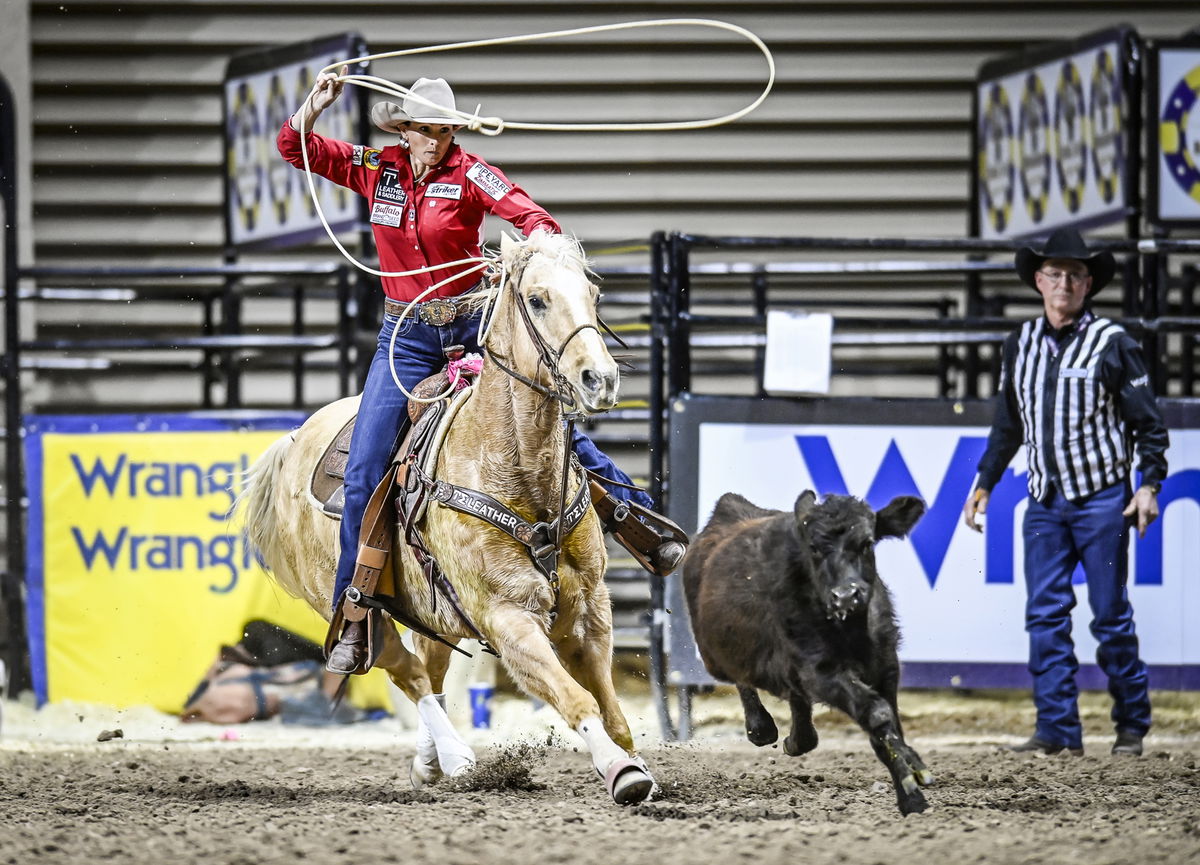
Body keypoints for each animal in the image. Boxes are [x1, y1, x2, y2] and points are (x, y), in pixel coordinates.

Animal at [236, 231, 657, 801]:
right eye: (537, 299)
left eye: (593, 294)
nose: (601, 379)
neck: (515, 468)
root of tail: (293, 442)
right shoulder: (507, 617)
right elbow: (576, 699)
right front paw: (621, 771)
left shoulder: (590, 608)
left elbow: (612, 709)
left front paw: (634, 763)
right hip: (349, 605)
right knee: (407, 674)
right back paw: (456, 756)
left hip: (432, 607)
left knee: (430, 671)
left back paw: (430, 761)